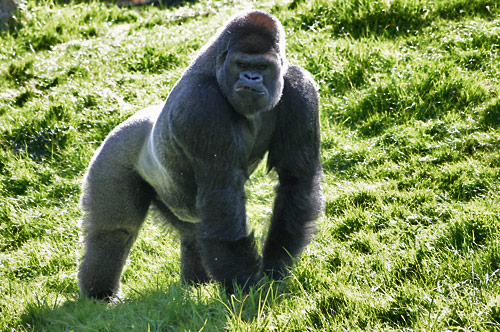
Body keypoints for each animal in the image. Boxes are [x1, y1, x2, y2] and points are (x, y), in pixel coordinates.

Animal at [77, 10, 320, 300]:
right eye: (242, 64)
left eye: (262, 67)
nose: (251, 77)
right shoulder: (202, 105)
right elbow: (222, 194)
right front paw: (245, 284)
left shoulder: (300, 87)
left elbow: (295, 180)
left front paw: (276, 266)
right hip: (112, 154)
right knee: (114, 233)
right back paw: (100, 295)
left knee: (193, 233)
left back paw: (196, 283)